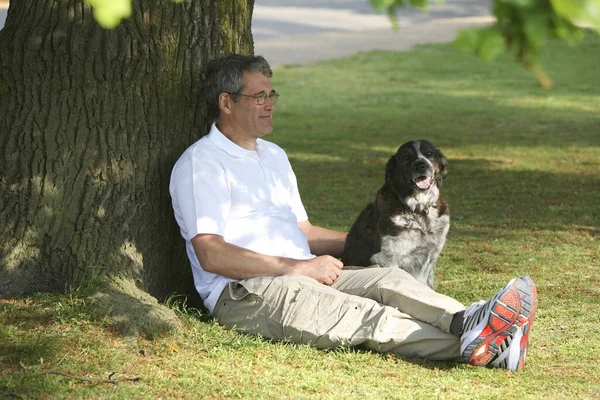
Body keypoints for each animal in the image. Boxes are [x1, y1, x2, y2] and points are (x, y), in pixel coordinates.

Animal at [342, 141, 450, 288]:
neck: (418, 211)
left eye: (429, 153)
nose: (421, 165)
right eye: (405, 157)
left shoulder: (431, 258)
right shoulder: (386, 259)